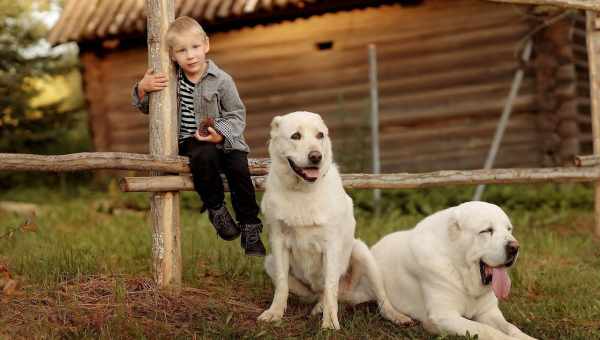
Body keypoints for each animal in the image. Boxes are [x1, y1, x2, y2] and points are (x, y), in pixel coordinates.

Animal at [258, 111, 412, 330]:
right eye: (296, 136)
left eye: (320, 135)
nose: (316, 157)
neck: (302, 191)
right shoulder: (278, 242)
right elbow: (282, 284)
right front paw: (275, 313)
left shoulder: (331, 245)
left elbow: (331, 285)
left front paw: (330, 324)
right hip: (269, 262)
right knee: (316, 293)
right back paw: (317, 307)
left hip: (362, 253)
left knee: (378, 299)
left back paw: (395, 316)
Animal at [344, 202, 536, 340]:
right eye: (486, 231)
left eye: (509, 229)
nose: (515, 247)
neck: (458, 268)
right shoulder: (444, 316)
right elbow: (487, 330)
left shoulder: (488, 312)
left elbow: (511, 327)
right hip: (363, 255)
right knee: (383, 305)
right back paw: (399, 317)